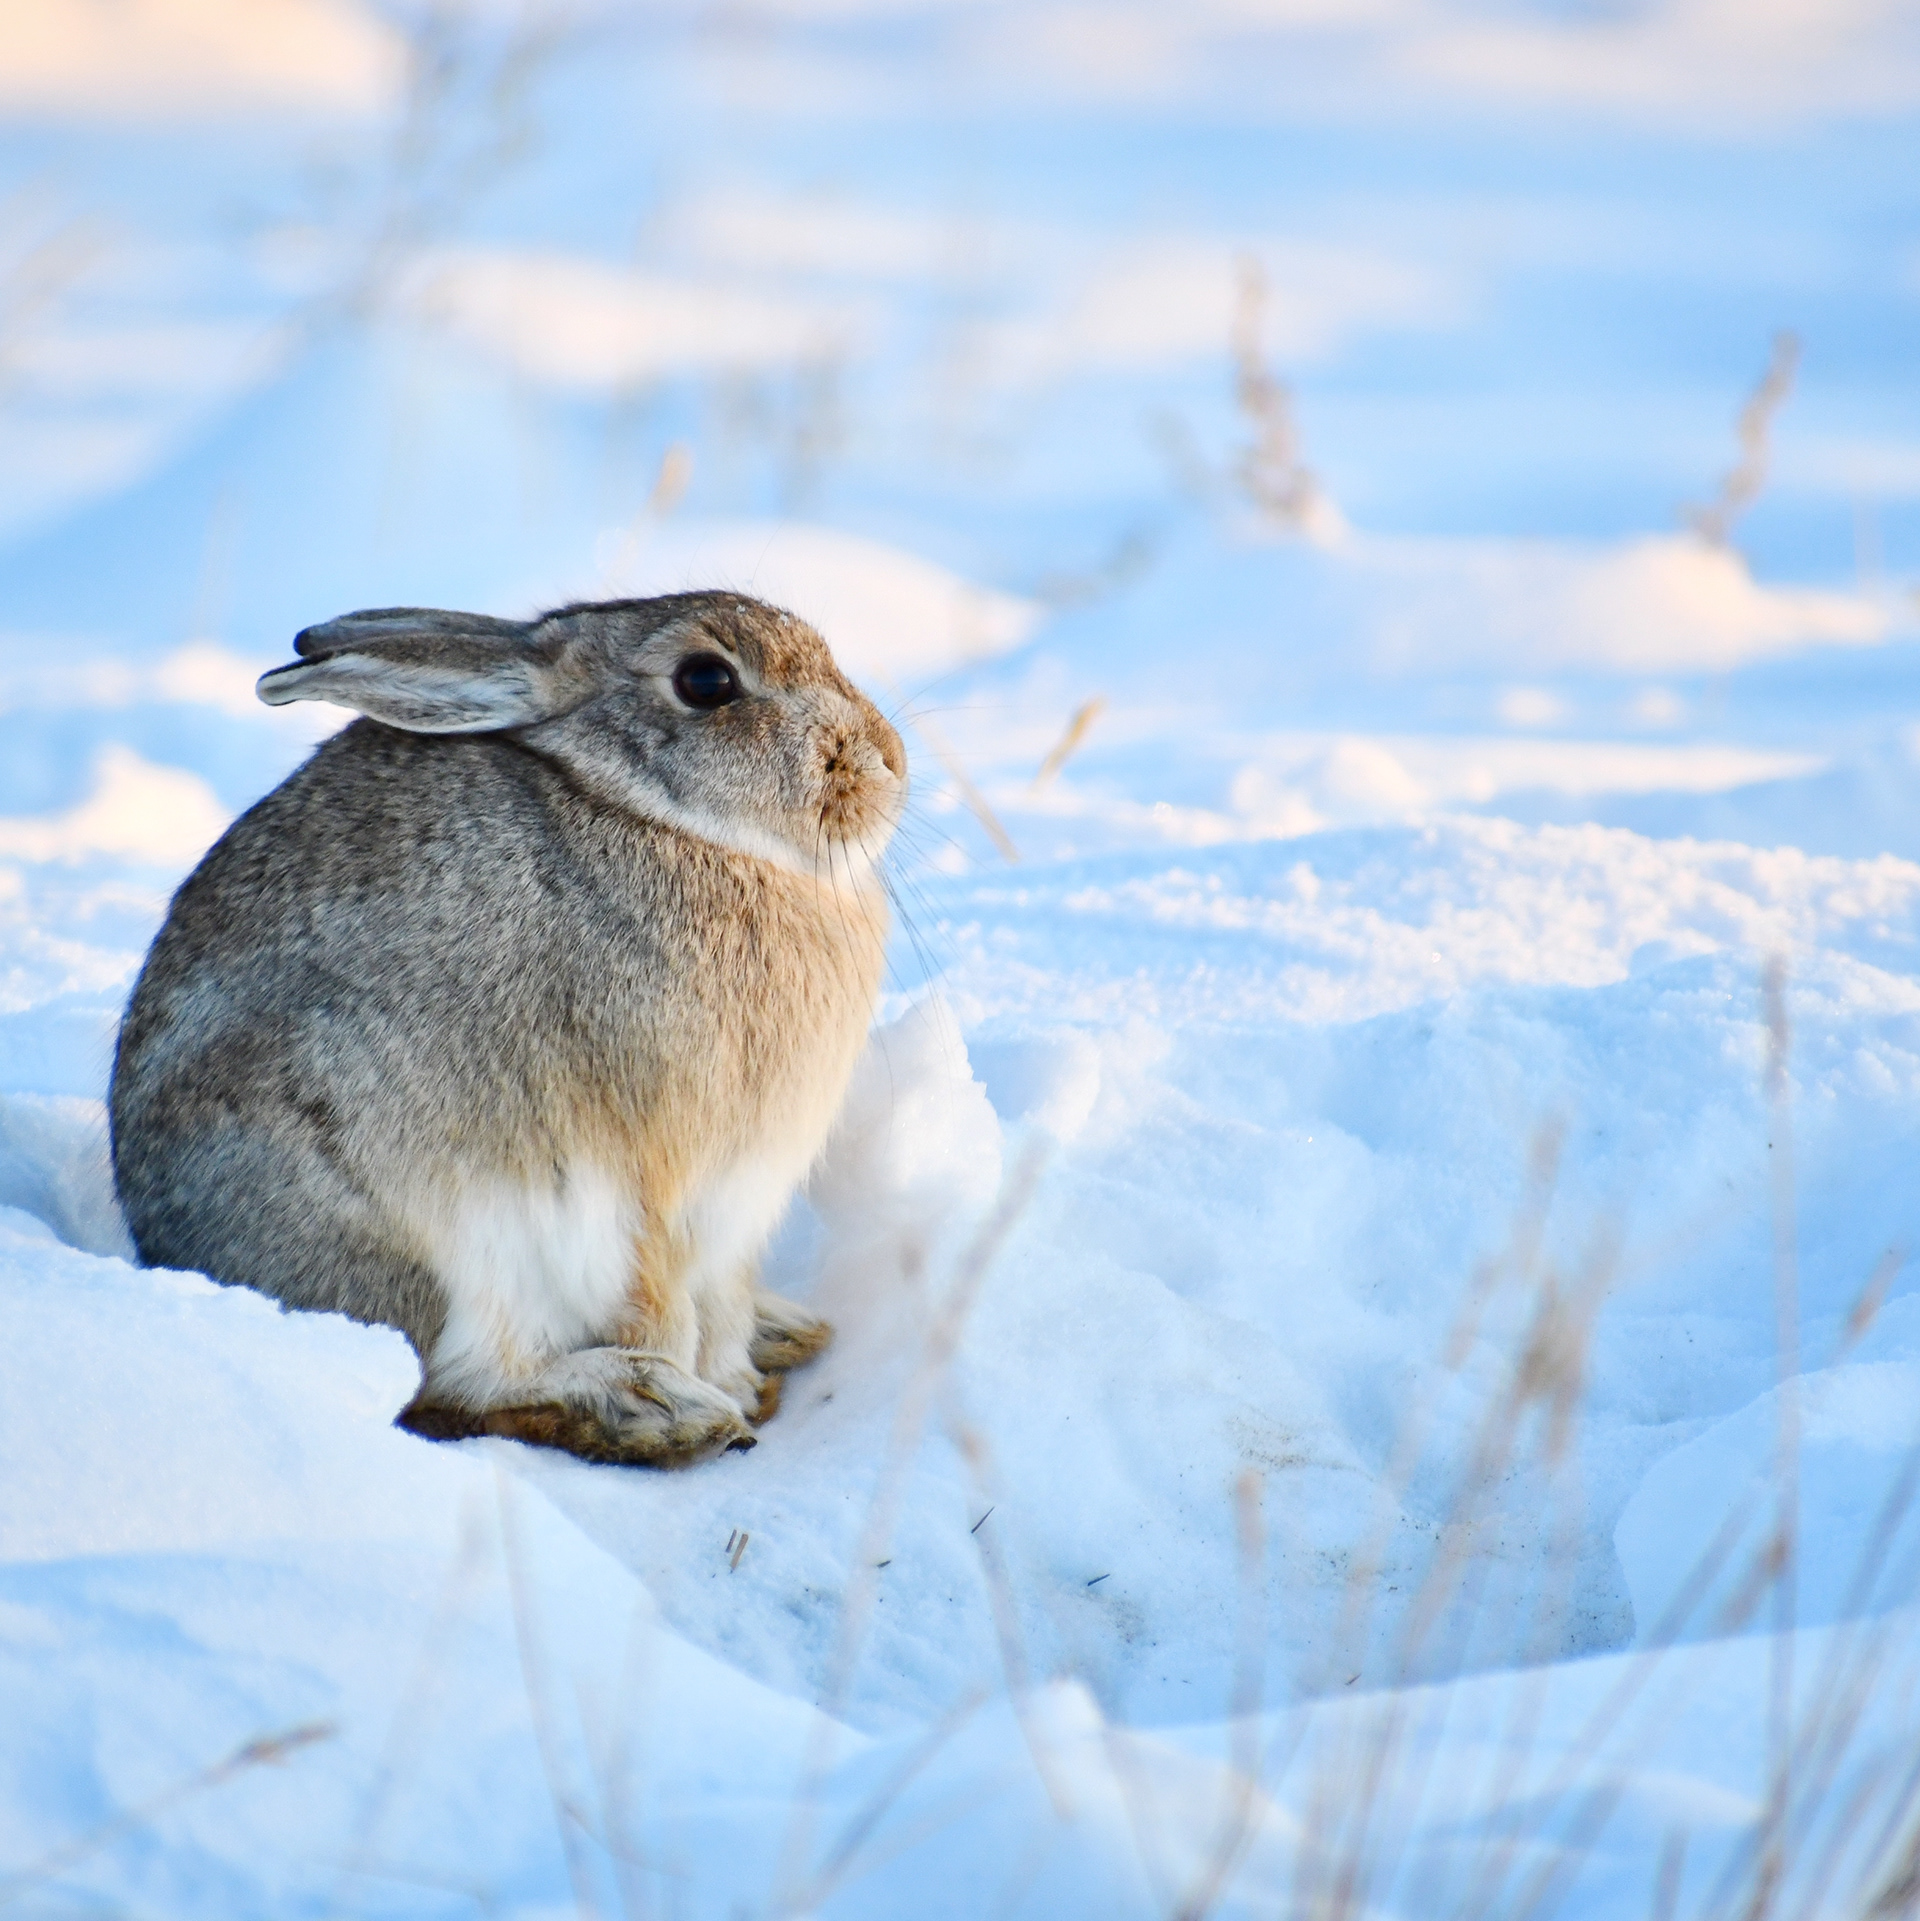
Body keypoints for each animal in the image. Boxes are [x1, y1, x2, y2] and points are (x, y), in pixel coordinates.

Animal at [109, 592, 906, 1466]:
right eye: (706, 681)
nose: (890, 762)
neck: (655, 815)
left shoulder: (732, 1217)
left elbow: (718, 1300)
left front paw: (740, 1374)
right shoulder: (654, 1188)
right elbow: (656, 1304)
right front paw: (710, 1399)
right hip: (426, 1242)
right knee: (453, 1391)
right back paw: (649, 1407)